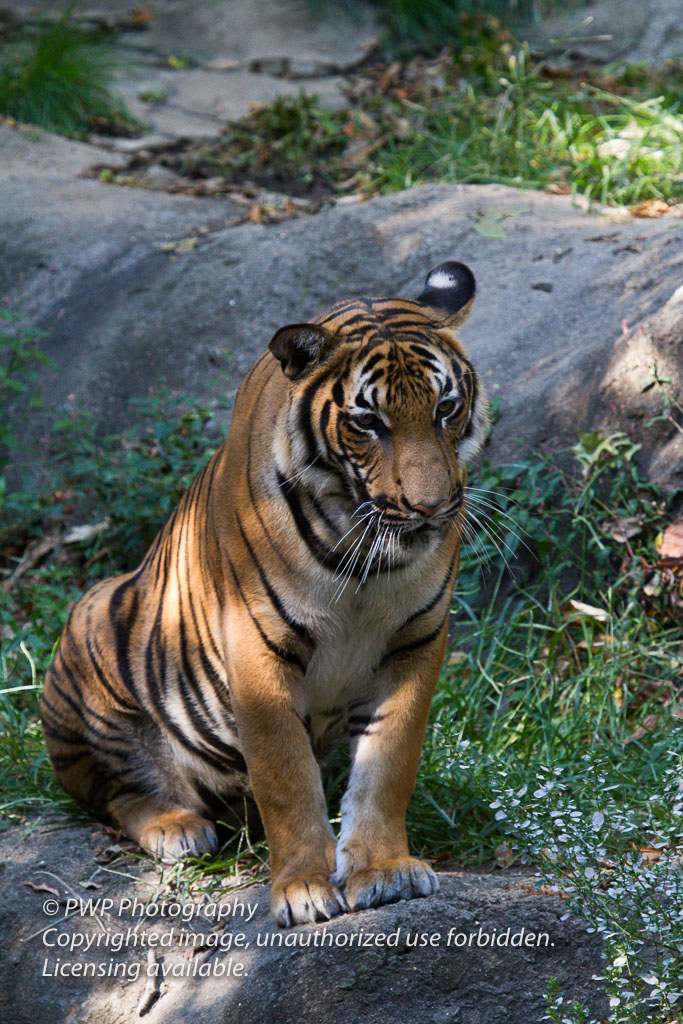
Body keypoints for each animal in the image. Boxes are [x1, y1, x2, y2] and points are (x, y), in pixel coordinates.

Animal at [41, 262, 485, 929]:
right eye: (367, 422)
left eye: (446, 408)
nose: (432, 508)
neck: (368, 554)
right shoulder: (256, 645)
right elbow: (285, 773)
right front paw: (304, 887)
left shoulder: (419, 639)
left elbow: (388, 764)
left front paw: (384, 870)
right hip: (92, 628)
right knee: (113, 789)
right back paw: (178, 827)